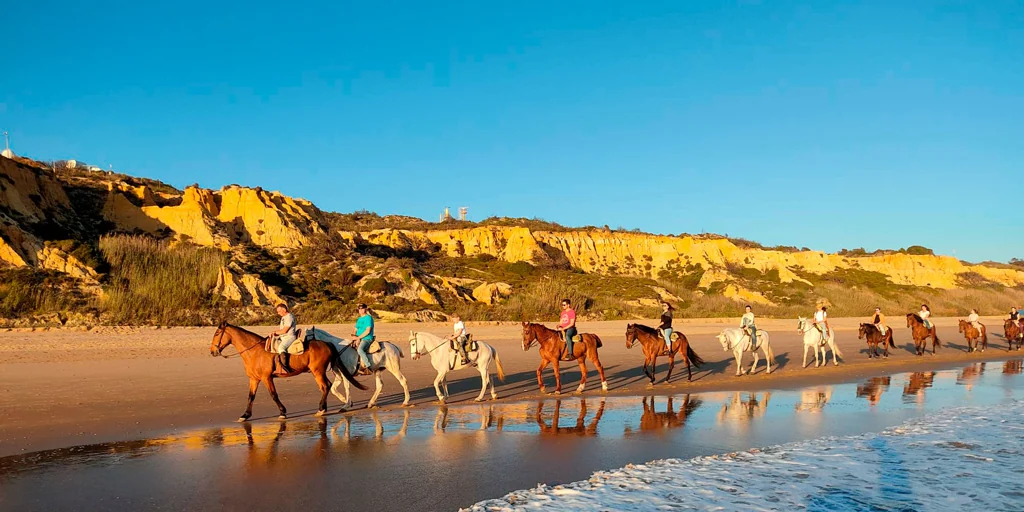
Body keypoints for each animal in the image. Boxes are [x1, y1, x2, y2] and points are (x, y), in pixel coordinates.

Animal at [209, 321, 366, 421]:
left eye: (217, 333)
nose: (212, 351)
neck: (254, 351)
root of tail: (326, 343)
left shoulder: (267, 378)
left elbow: (274, 395)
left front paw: (283, 412)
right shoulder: (254, 379)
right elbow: (250, 397)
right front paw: (245, 415)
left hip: (317, 371)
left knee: (325, 386)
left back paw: (321, 409)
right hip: (318, 372)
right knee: (326, 386)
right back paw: (325, 408)